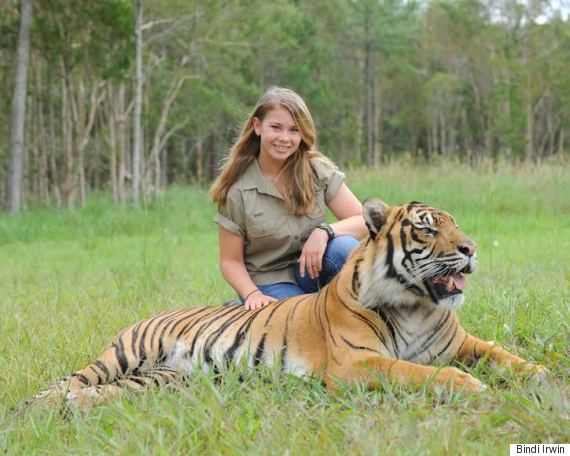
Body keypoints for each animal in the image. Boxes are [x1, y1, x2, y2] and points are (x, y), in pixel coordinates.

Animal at [25, 198, 544, 412]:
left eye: (455, 226)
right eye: (427, 228)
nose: (472, 248)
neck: (417, 304)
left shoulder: (460, 343)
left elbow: (500, 354)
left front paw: (537, 374)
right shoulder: (356, 363)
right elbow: (417, 372)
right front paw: (472, 387)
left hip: (159, 380)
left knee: (97, 393)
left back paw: (75, 407)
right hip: (124, 354)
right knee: (68, 382)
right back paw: (34, 409)